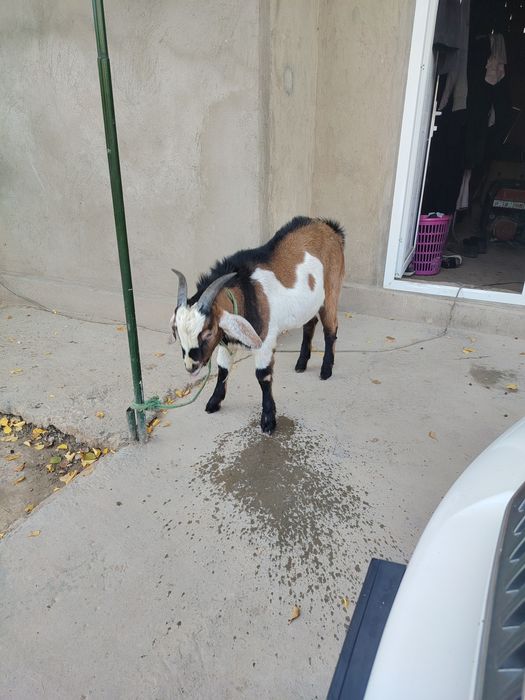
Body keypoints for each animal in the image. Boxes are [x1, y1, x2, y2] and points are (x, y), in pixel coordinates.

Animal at [170, 216, 345, 434]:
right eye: (177, 333)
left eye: (208, 332)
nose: (191, 366)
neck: (246, 291)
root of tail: (330, 228)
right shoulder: (227, 342)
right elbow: (223, 369)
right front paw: (214, 402)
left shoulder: (265, 342)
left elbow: (263, 375)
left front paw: (268, 420)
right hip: (309, 304)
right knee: (309, 324)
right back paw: (301, 363)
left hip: (331, 293)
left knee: (331, 329)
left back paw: (326, 370)